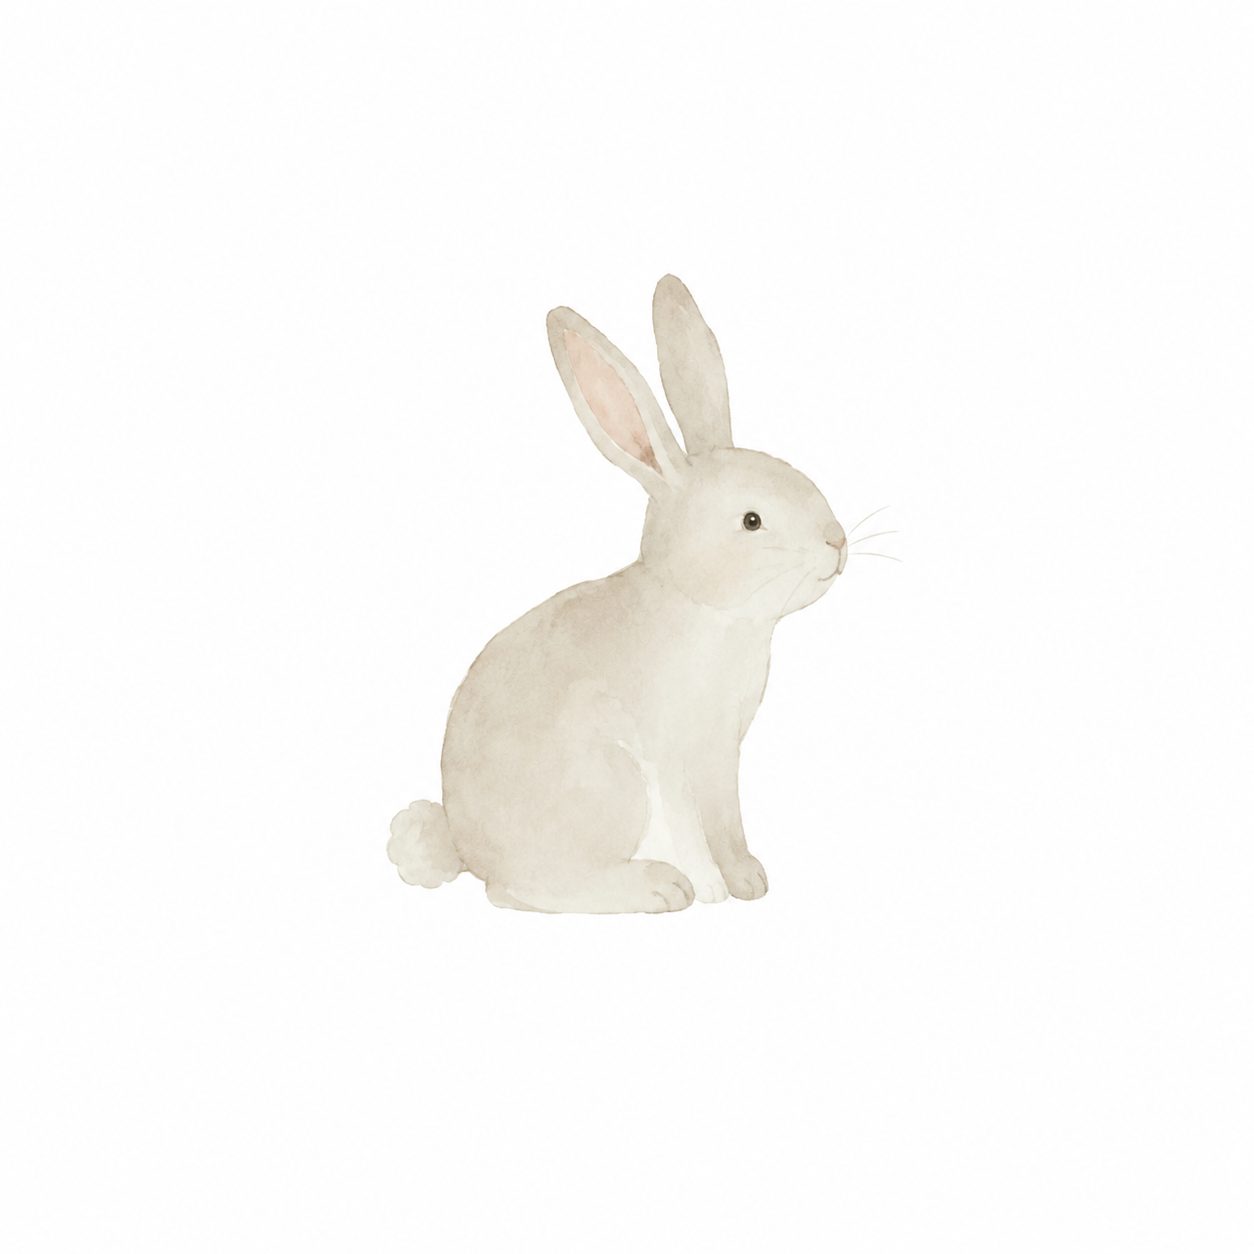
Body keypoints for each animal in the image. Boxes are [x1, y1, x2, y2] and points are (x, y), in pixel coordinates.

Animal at [388, 275, 847, 913]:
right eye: (752, 521)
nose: (838, 542)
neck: (704, 610)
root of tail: (462, 844)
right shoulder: (668, 753)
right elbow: (689, 824)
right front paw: (712, 890)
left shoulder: (721, 757)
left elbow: (726, 821)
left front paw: (749, 880)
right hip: (611, 783)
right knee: (526, 888)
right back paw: (658, 887)